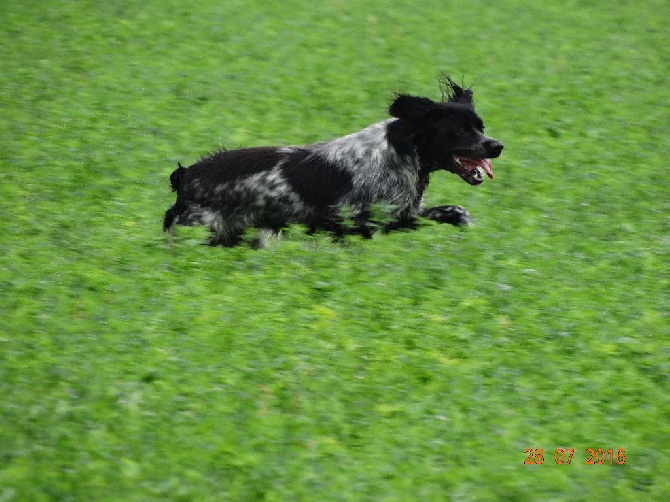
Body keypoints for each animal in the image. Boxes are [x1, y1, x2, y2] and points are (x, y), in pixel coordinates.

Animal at [165, 76, 504, 247]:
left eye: (481, 126)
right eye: (462, 130)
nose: (497, 146)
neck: (402, 152)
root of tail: (186, 176)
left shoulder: (403, 209)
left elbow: (453, 211)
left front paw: (465, 223)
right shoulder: (360, 220)